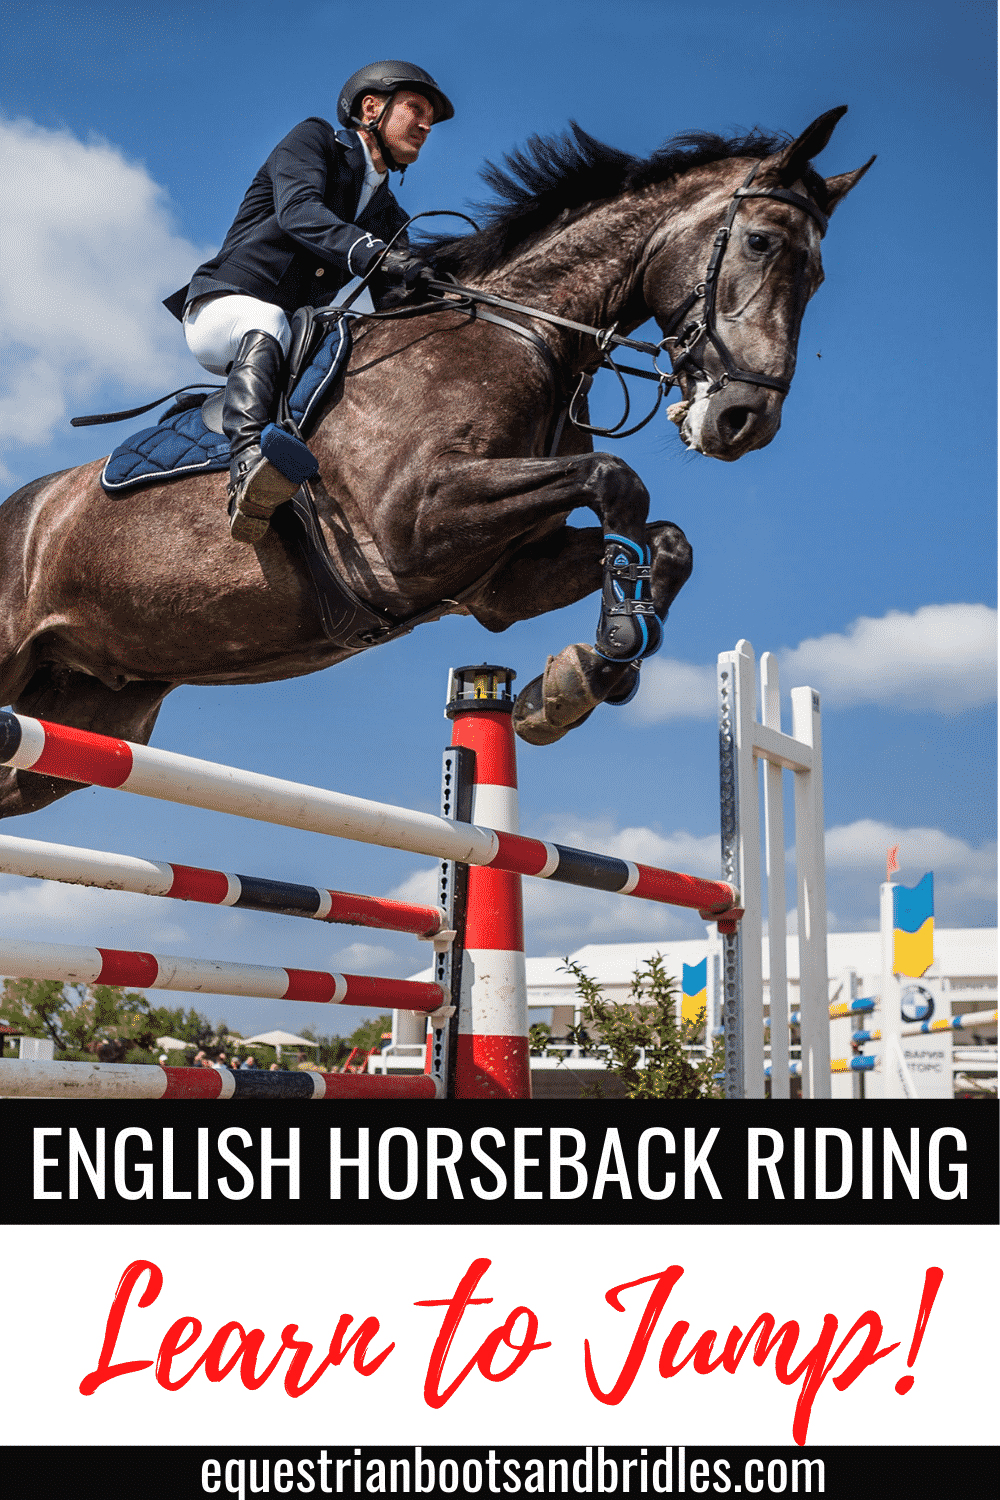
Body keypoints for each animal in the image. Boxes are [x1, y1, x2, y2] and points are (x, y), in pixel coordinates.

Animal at [0, 106, 871, 819]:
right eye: (760, 243)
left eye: (820, 274)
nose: (744, 421)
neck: (526, 336)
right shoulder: (412, 529)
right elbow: (618, 480)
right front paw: (609, 648)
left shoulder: (495, 580)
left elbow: (666, 540)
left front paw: (578, 679)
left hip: (83, 714)